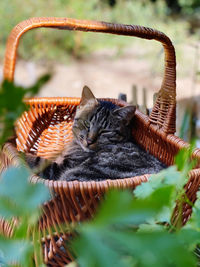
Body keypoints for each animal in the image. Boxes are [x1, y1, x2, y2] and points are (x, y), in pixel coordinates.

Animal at [25, 86, 166, 182]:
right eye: (87, 124)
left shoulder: (61, 168)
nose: (89, 140)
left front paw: (24, 155)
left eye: (105, 131)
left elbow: (38, 161)